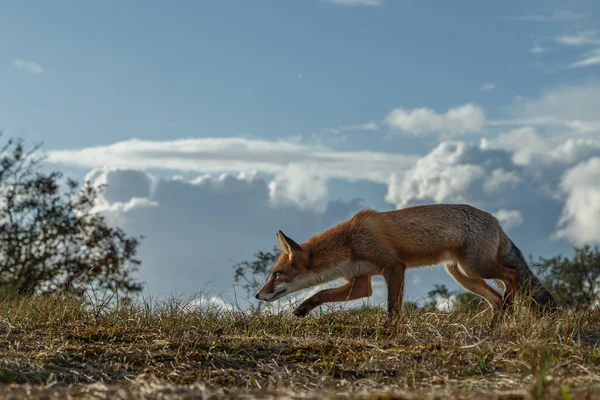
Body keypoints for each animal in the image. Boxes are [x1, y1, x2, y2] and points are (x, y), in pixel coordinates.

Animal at [254, 205, 556, 320]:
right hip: (463, 275)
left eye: (277, 274)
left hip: (476, 268)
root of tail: (496, 220)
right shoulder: (360, 283)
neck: (350, 241)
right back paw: (495, 326)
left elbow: (393, 308)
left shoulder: (393, 267)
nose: (258, 295)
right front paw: (303, 309)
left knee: (511, 275)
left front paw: (393, 331)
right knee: (495, 298)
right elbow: (322, 292)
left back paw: (510, 310)